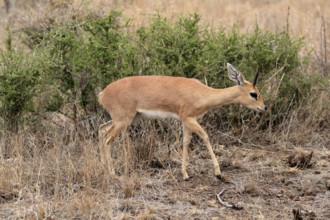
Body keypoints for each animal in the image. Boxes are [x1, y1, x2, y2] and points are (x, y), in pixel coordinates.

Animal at [98, 63, 266, 180]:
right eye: (253, 94)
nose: (263, 108)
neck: (202, 93)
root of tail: (102, 94)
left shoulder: (186, 121)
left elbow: (185, 142)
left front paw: (185, 174)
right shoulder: (189, 118)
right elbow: (205, 136)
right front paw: (218, 173)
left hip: (129, 119)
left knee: (101, 130)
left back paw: (105, 169)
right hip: (122, 121)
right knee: (106, 139)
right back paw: (113, 174)